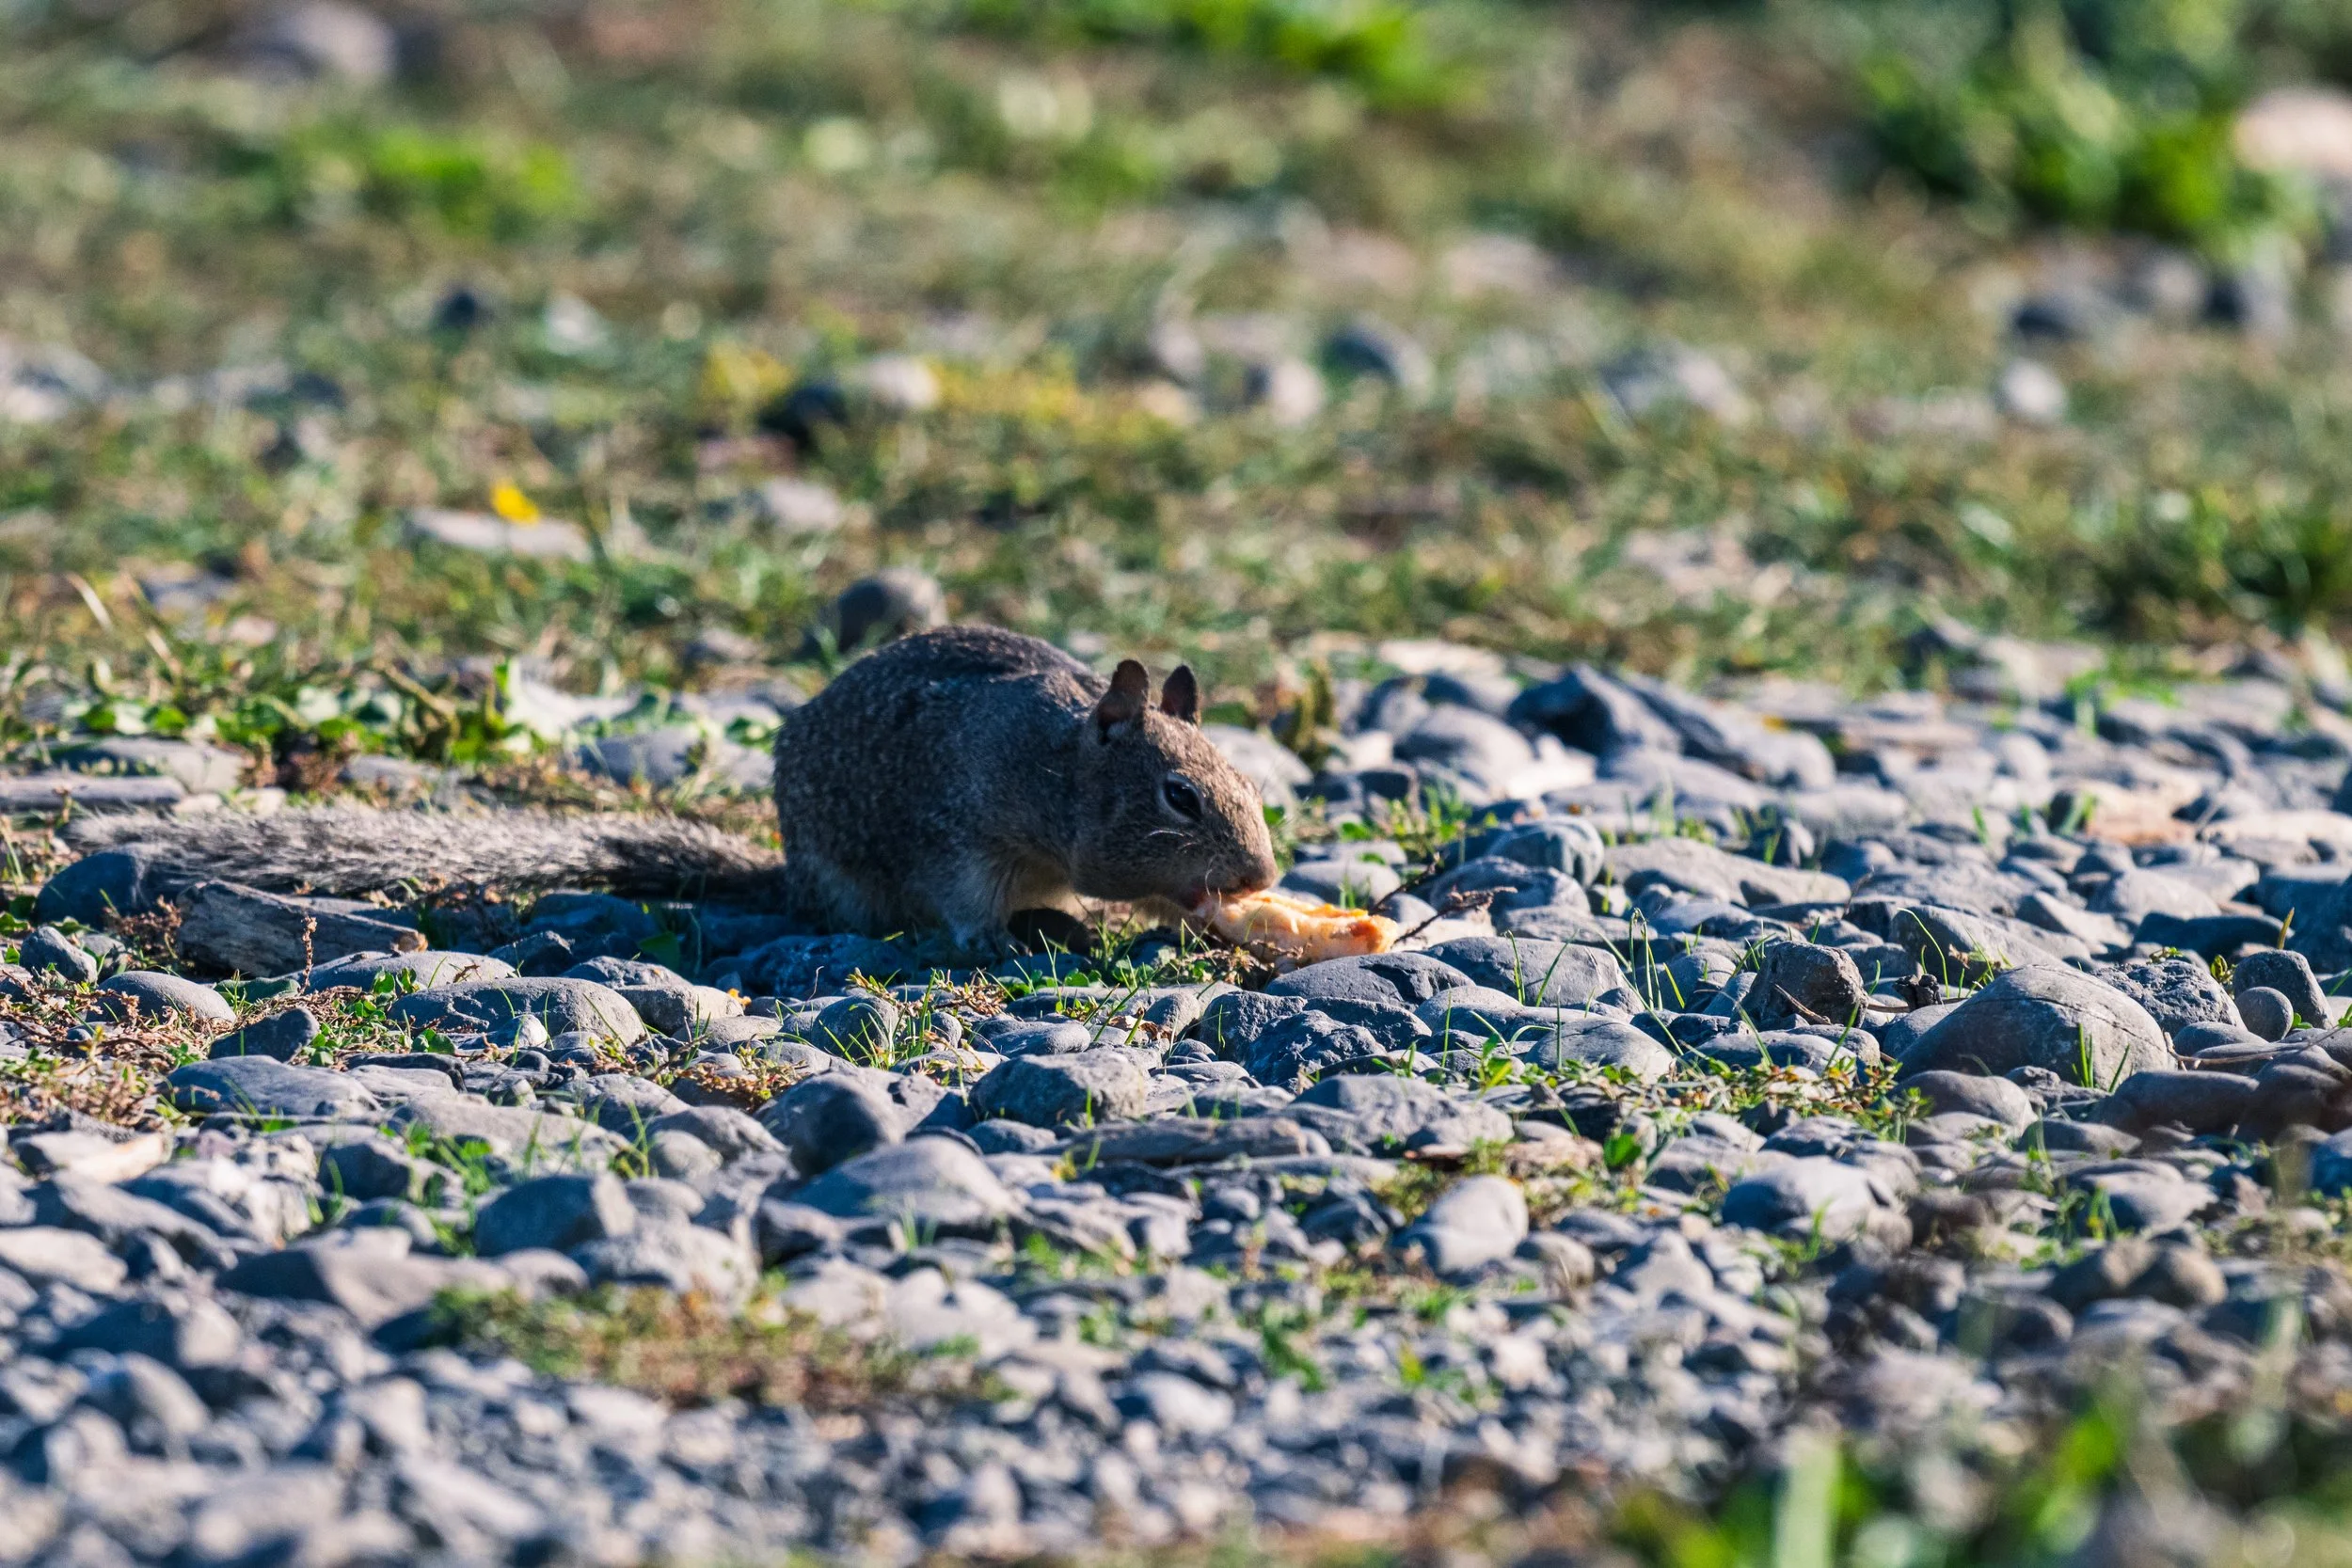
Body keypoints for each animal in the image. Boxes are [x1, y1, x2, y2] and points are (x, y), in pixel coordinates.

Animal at [64, 625, 1280, 952]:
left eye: (1252, 784)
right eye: (1177, 795)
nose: (1263, 869)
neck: (1062, 759)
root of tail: (790, 880)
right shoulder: (1011, 831)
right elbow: (1081, 877)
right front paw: (1201, 903)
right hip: (912, 876)